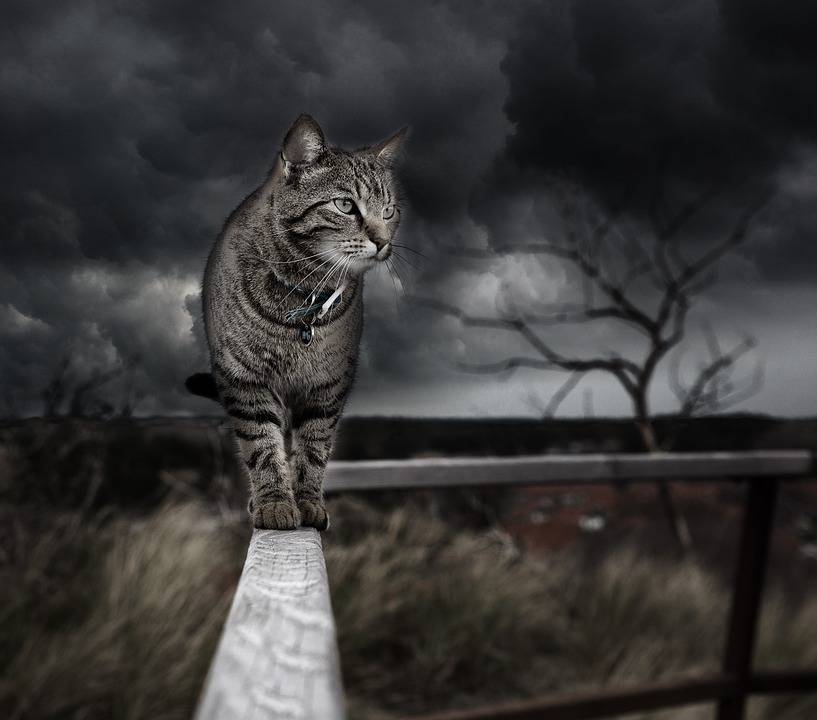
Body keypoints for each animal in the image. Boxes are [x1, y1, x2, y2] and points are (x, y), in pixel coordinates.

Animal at [192, 112, 408, 528]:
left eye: (390, 211)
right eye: (345, 205)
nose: (383, 241)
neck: (305, 291)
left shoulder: (328, 385)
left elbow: (314, 448)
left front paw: (306, 501)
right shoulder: (244, 380)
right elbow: (262, 445)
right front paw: (275, 503)